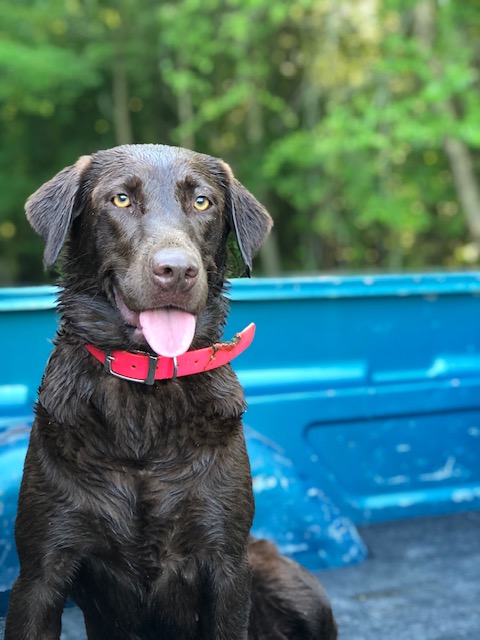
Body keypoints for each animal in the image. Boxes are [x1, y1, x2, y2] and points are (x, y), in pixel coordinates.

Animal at [4, 145, 334, 640]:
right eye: (120, 199)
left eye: (202, 202)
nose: (177, 270)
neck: (146, 396)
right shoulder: (40, 570)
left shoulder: (226, 564)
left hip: (296, 590)